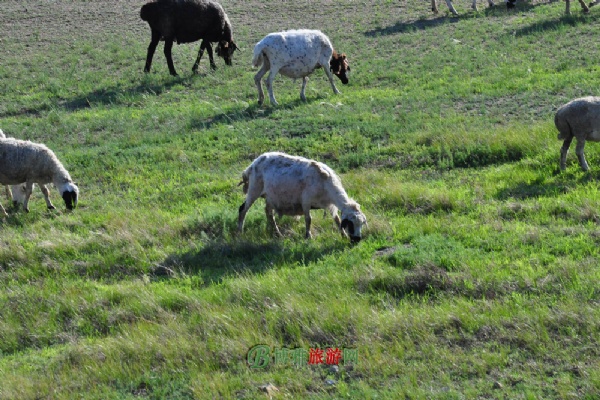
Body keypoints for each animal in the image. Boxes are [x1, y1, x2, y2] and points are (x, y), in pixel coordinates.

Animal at [236, 152, 366, 242]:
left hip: (270, 196)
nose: (357, 240)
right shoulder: (306, 201)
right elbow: (309, 219)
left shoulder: (329, 204)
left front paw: (343, 235)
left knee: (268, 213)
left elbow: (337, 219)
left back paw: (277, 233)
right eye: (351, 224)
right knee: (243, 209)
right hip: (254, 189)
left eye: (361, 224)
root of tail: (253, 164)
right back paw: (240, 232)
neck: (326, 182)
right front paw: (308, 236)